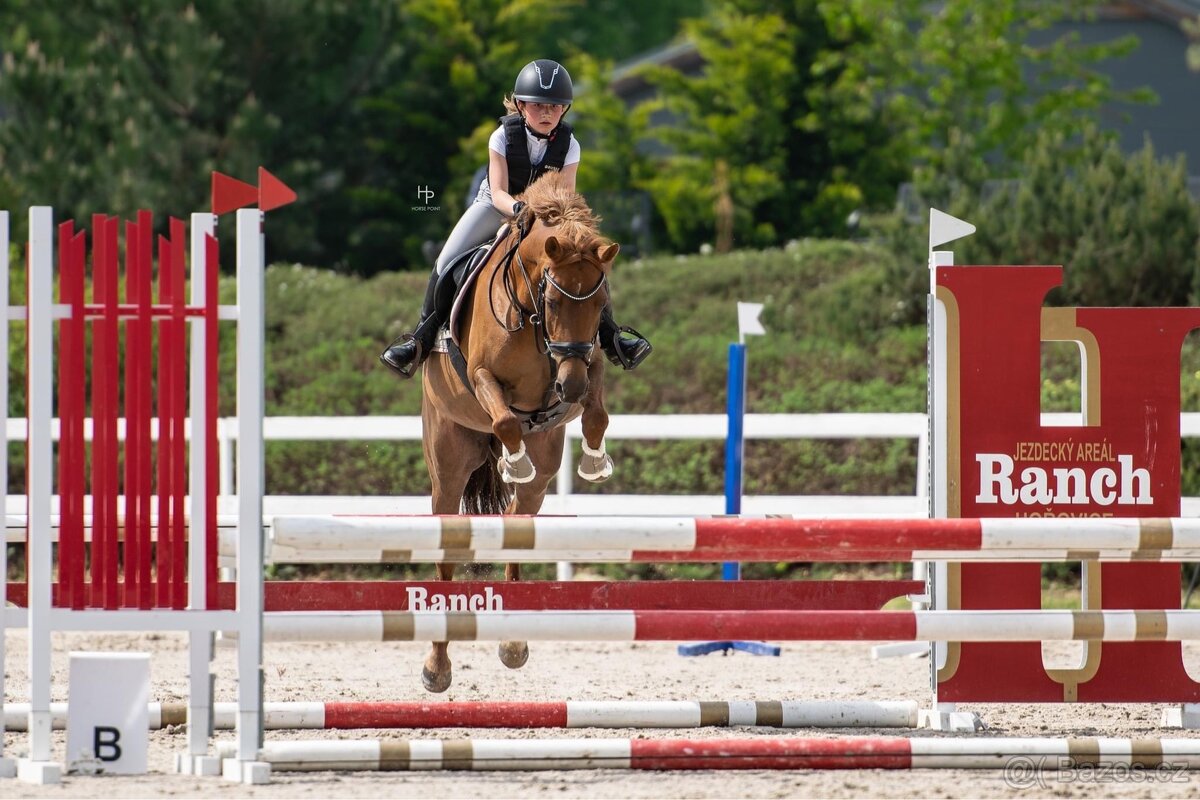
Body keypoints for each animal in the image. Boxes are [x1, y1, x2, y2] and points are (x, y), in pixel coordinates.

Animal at [418, 172, 620, 692]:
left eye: (602, 303)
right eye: (552, 298)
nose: (569, 387)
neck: (532, 319)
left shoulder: (589, 363)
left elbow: (596, 414)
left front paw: (594, 461)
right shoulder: (483, 375)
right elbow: (506, 416)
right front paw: (515, 460)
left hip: (541, 476)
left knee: (517, 518)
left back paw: (512, 644)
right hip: (447, 466)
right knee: (446, 548)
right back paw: (437, 668)